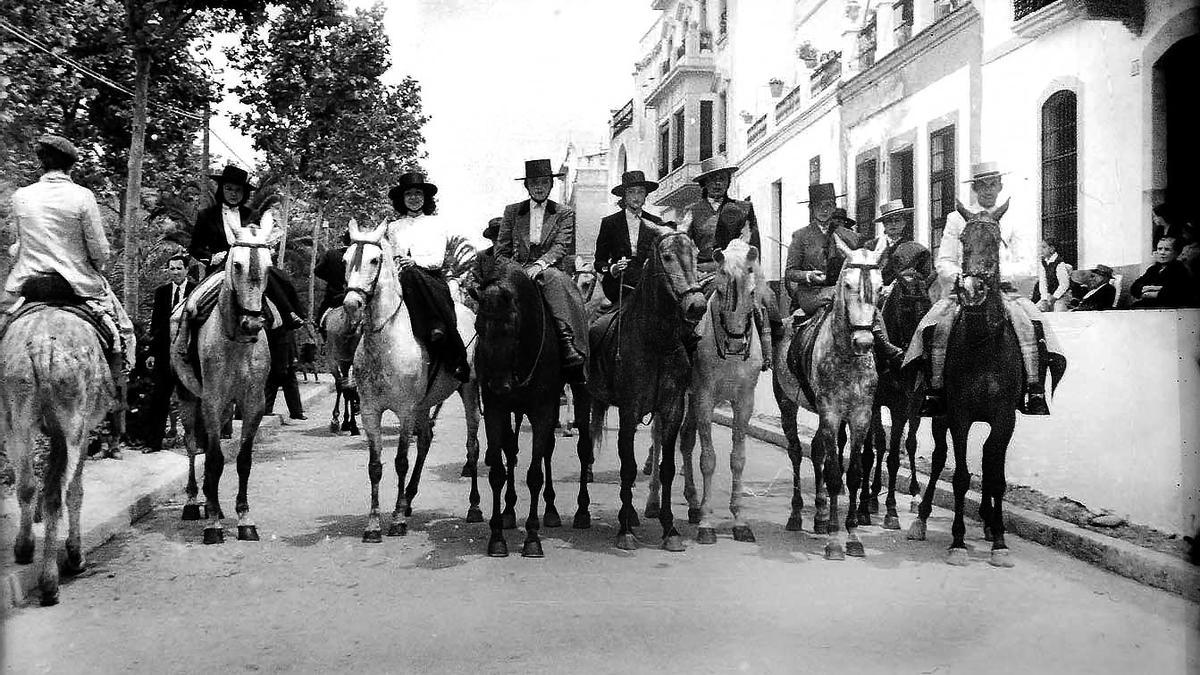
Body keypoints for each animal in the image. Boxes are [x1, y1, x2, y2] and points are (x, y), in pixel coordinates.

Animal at [340, 218, 480, 538]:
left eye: (374, 259)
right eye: (345, 259)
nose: (352, 304)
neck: (386, 342)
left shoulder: (404, 411)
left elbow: (401, 461)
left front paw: (396, 522)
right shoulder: (370, 411)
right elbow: (375, 466)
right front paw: (374, 523)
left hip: (468, 390)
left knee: (473, 444)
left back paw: (474, 507)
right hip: (424, 403)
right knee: (426, 440)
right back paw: (408, 501)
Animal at [475, 254, 592, 554]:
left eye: (512, 328)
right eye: (479, 327)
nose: (498, 384)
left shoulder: (542, 409)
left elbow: (534, 475)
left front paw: (531, 538)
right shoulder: (496, 409)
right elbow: (498, 471)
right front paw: (497, 536)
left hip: (580, 389)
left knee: (582, 448)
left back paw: (581, 512)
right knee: (527, 450)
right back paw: (534, 510)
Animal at [578, 223, 700, 550]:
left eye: (696, 254)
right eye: (667, 256)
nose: (696, 306)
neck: (655, 341)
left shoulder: (672, 410)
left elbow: (667, 467)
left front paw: (670, 529)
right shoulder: (629, 411)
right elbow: (628, 467)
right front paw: (625, 532)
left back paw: (631, 513)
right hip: (584, 399)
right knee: (584, 449)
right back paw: (583, 511)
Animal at [902, 198, 1065, 562]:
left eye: (996, 240)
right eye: (963, 240)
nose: (972, 290)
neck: (983, 344)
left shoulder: (1004, 419)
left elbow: (995, 475)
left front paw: (999, 540)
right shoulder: (959, 417)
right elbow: (961, 476)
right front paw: (958, 541)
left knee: (988, 464)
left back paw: (989, 523)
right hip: (938, 415)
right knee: (938, 460)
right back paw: (921, 519)